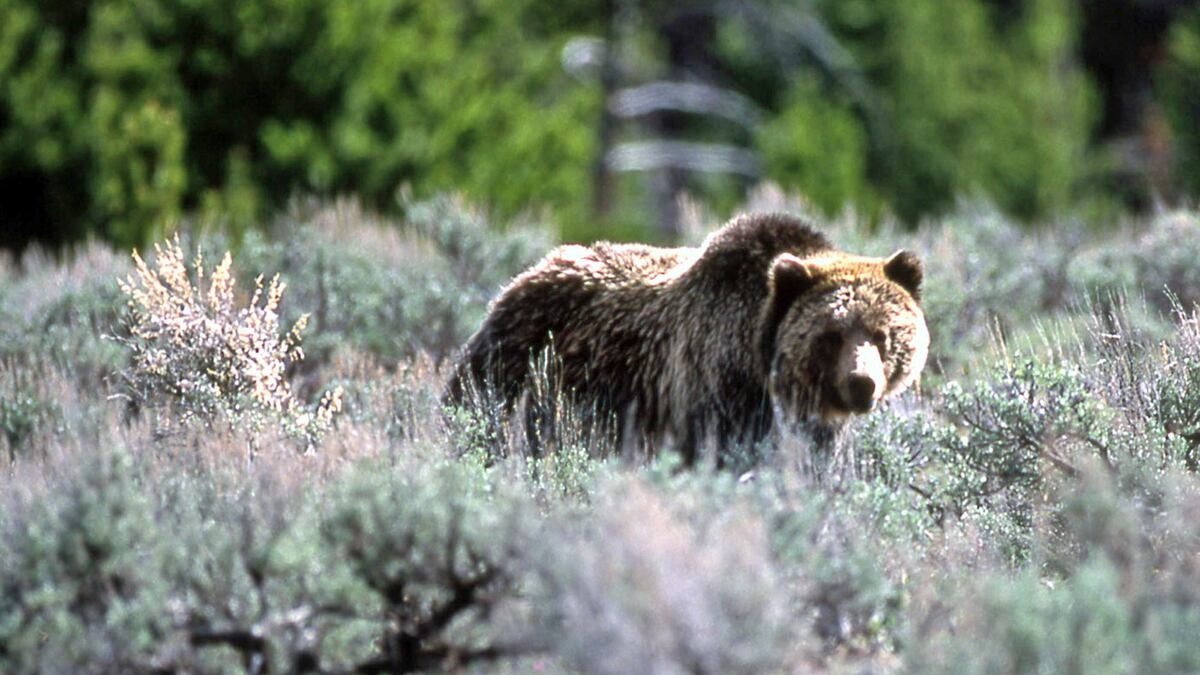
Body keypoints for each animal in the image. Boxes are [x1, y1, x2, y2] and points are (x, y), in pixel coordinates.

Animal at [443, 212, 929, 463]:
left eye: (883, 334)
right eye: (831, 335)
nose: (861, 384)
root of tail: (526, 273)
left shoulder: (810, 424)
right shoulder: (712, 386)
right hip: (521, 361)